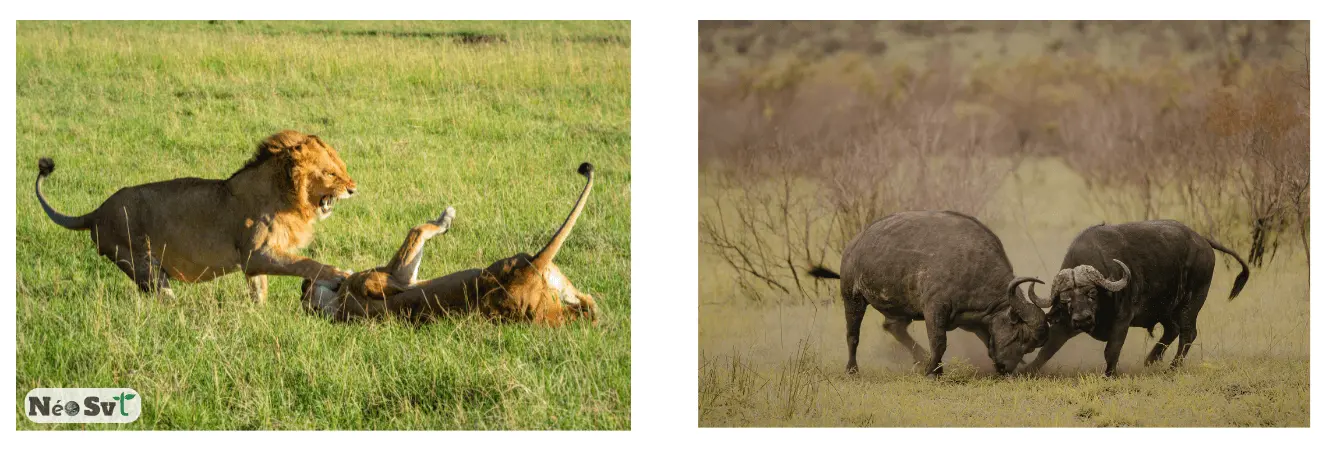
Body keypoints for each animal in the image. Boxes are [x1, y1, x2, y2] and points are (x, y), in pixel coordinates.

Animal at [34, 130, 358, 301]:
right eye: (331, 173)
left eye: (342, 167)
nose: (353, 189)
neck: (286, 196)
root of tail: (97, 212)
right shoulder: (255, 254)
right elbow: (305, 263)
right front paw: (339, 275)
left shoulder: (256, 261)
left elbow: (260, 290)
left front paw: (260, 315)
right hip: (141, 261)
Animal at [301, 162, 598, 325]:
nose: (304, 281)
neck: (337, 301)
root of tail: (522, 274)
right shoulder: (398, 275)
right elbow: (417, 229)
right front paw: (446, 218)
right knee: (588, 306)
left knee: (588, 306)